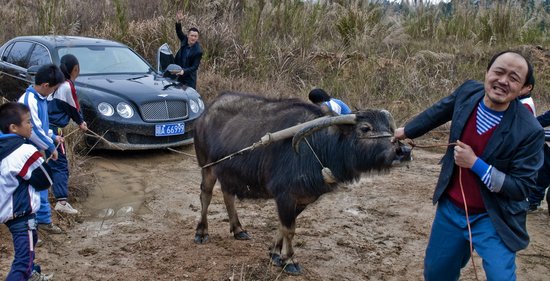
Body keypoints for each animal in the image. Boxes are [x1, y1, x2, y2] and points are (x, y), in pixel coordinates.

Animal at [194, 92, 410, 274]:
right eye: (365, 128)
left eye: (389, 129)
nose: (403, 151)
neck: (320, 147)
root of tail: (206, 112)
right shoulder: (285, 196)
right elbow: (289, 229)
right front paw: (290, 261)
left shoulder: (304, 199)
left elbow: (282, 226)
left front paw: (275, 253)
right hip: (207, 166)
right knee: (206, 195)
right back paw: (201, 232)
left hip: (228, 172)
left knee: (228, 195)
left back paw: (239, 229)